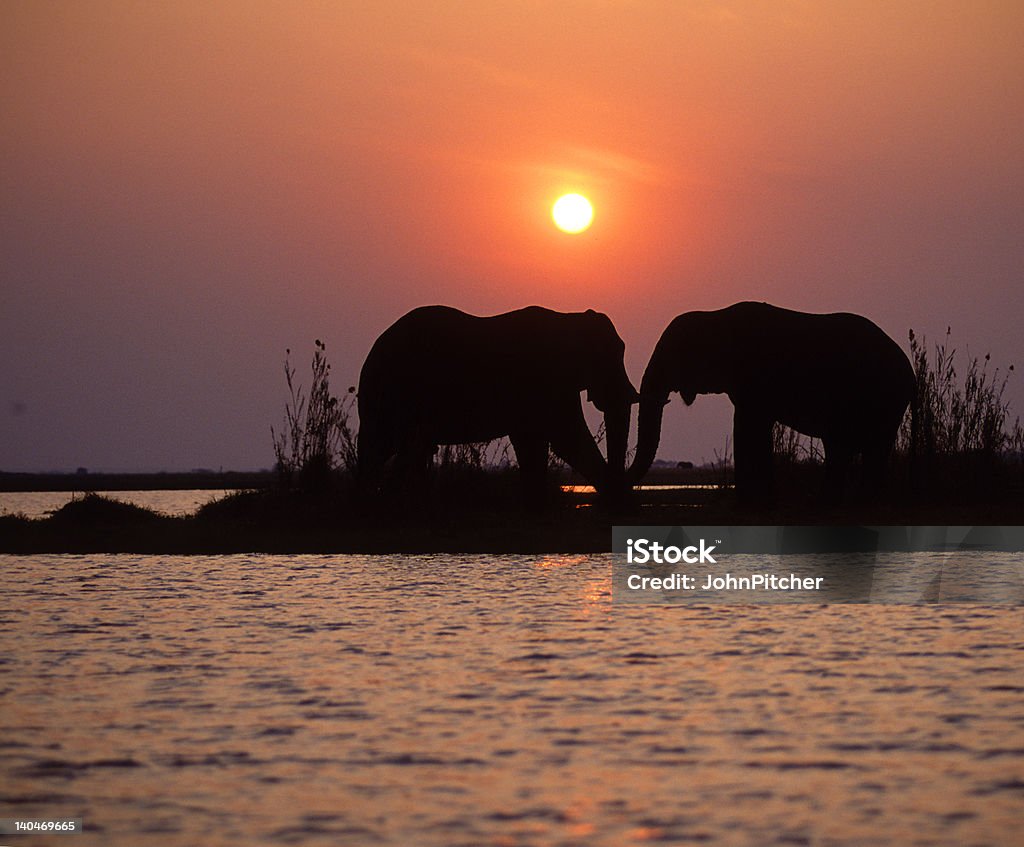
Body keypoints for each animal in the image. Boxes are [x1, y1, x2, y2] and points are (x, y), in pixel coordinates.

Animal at [356, 305, 634, 503]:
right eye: (609, 357)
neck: (569, 318)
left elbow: (534, 443)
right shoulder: (546, 378)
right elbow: (567, 439)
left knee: (401, 451)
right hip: (396, 393)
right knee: (385, 447)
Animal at [626, 303, 917, 503]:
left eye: (674, 355)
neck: (715, 316)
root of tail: (911, 372)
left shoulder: (754, 377)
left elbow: (747, 427)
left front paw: (750, 503)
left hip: (884, 397)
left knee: (866, 448)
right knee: (843, 447)